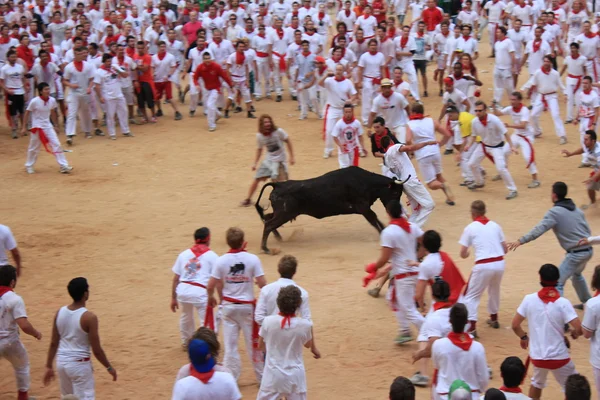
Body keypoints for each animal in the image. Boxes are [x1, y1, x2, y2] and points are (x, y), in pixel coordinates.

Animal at [253, 166, 408, 253]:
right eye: (395, 192)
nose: (396, 209)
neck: (366, 182)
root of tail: (278, 185)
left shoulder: (364, 208)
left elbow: (375, 219)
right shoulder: (363, 207)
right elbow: (374, 219)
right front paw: (383, 233)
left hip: (282, 213)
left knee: (267, 218)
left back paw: (278, 238)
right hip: (285, 213)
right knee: (269, 224)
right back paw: (265, 248)